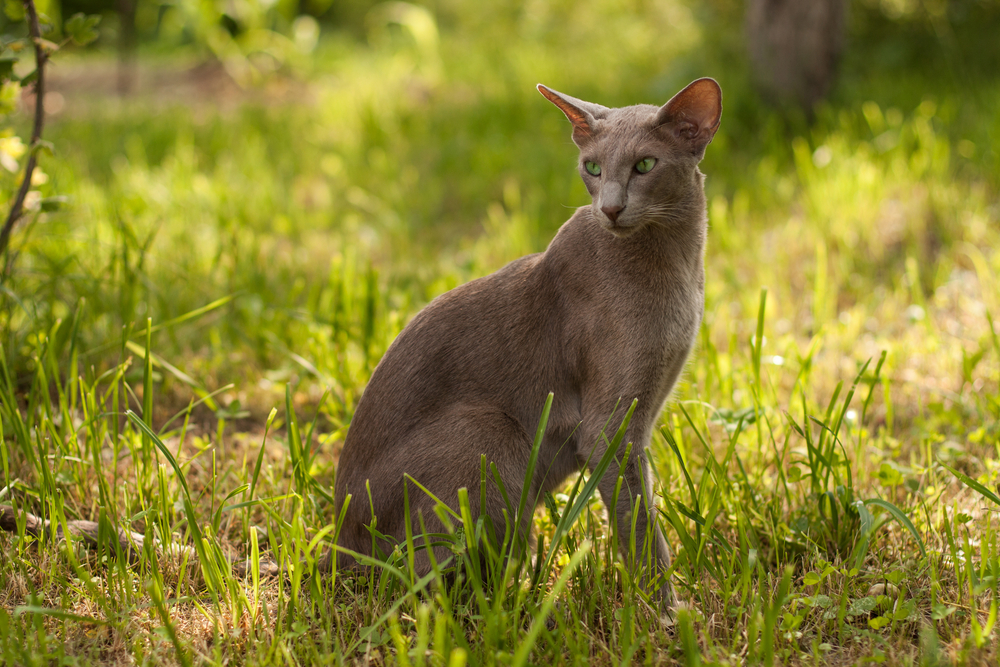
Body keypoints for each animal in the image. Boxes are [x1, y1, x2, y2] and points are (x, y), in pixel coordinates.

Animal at [332, 77, 724, 604]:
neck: (679, 263)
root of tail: (336, 550)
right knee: (424, 581)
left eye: (645, 165)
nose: (610, 209)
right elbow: (642, 528)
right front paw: (667, 612)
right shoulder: (611, 429)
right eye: (593, 168)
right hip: (488, 433)